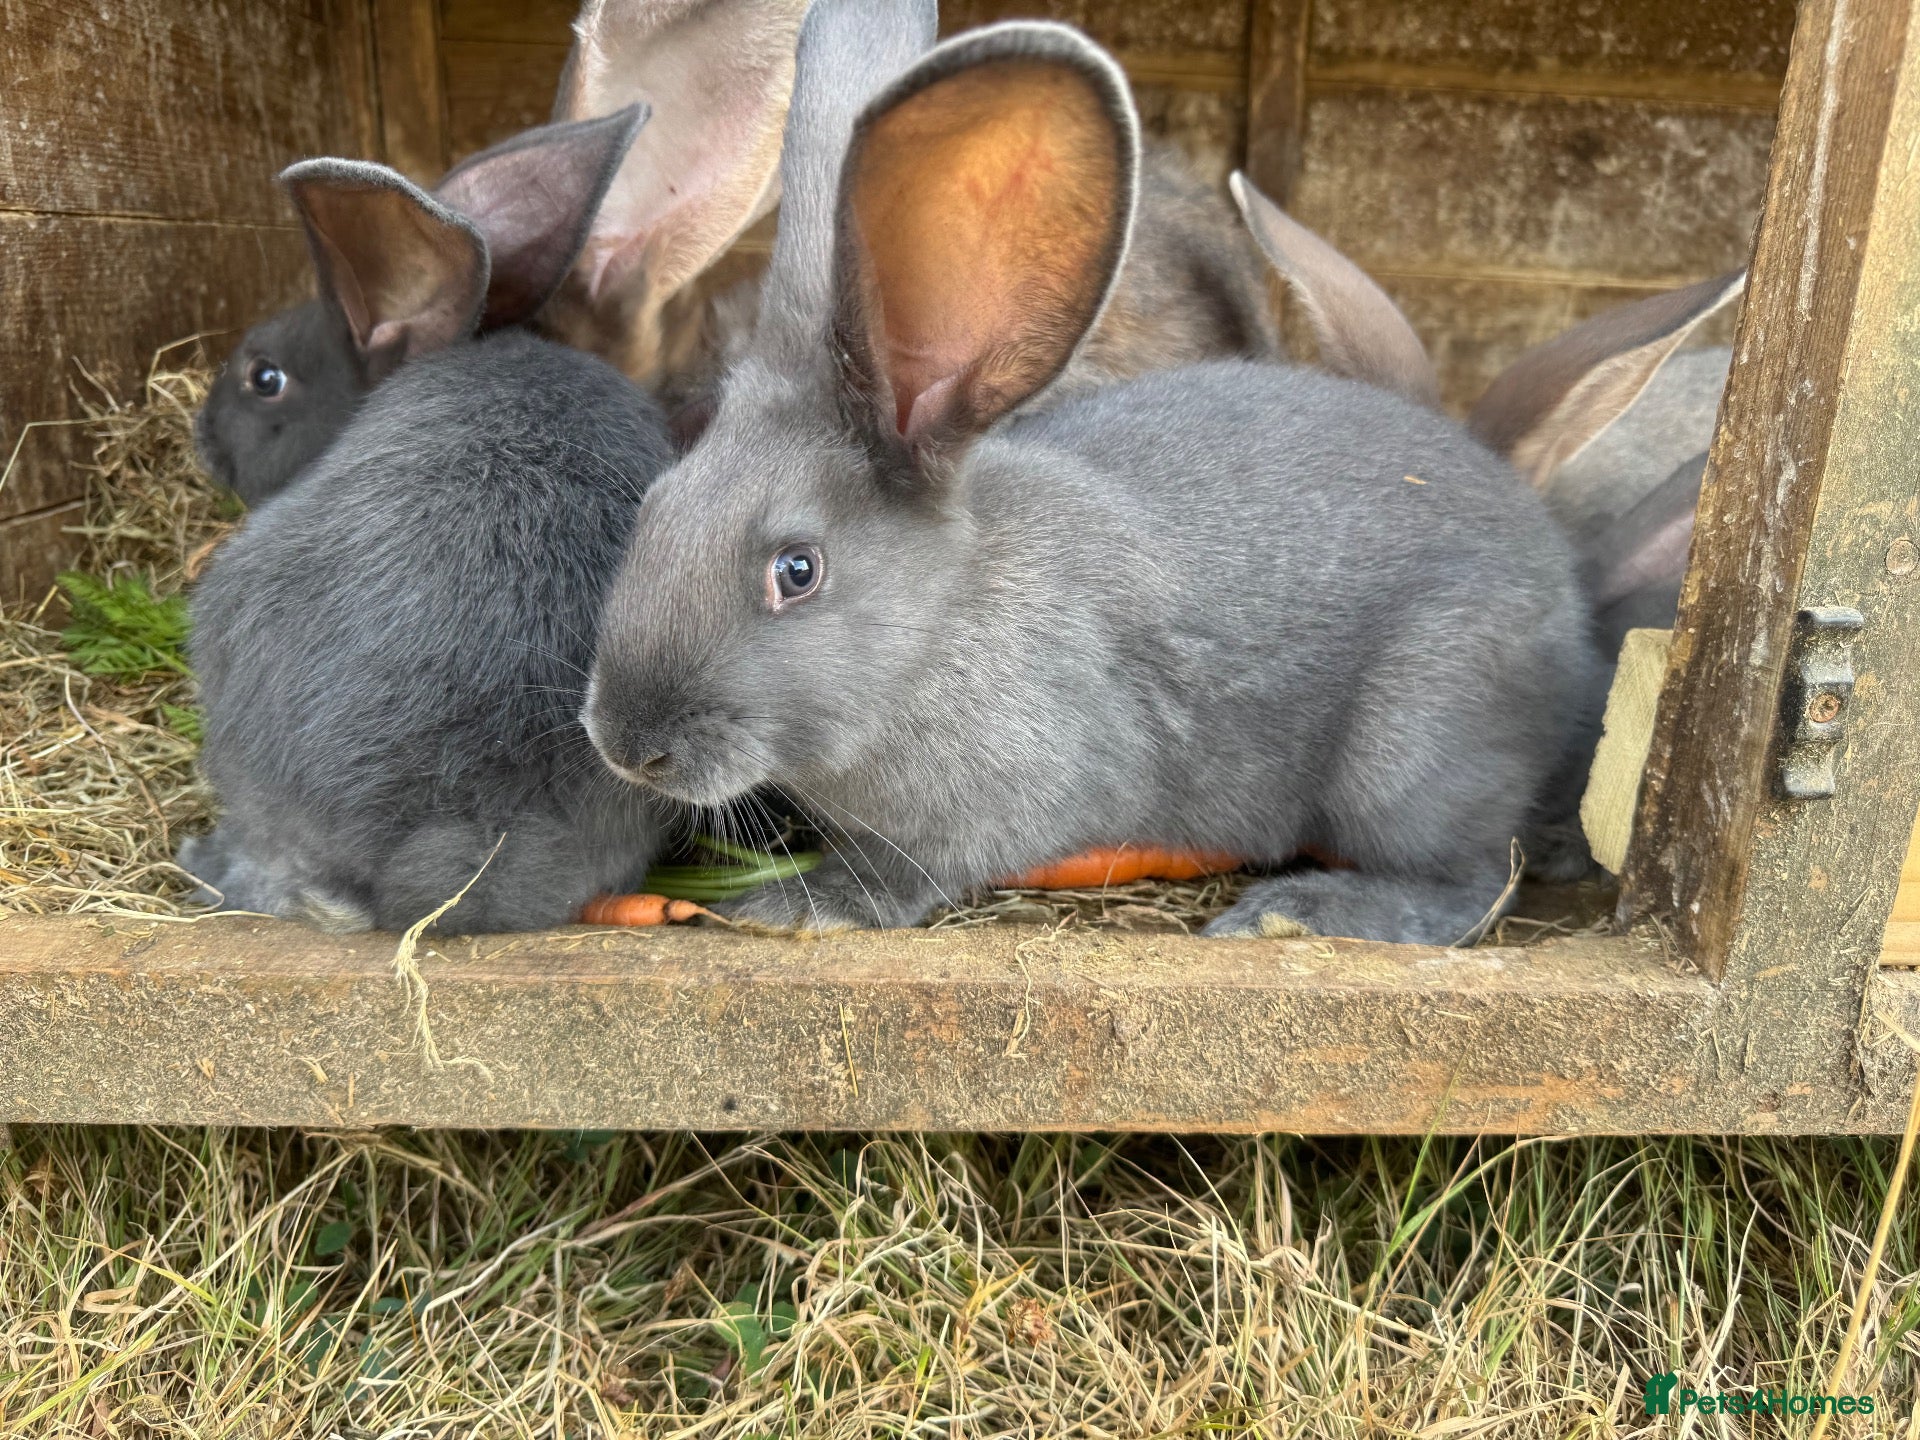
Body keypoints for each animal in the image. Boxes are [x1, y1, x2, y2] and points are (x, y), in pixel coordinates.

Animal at [579, 5, 1603, 946]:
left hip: (1411, 750)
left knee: (1473, 878)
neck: (939, 631)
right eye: (654, 505)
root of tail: (1567, 606)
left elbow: (906, 873)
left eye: (797, 571)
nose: (626, 747)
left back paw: (1297, 911)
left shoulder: (997, 803)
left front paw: (794, 903)